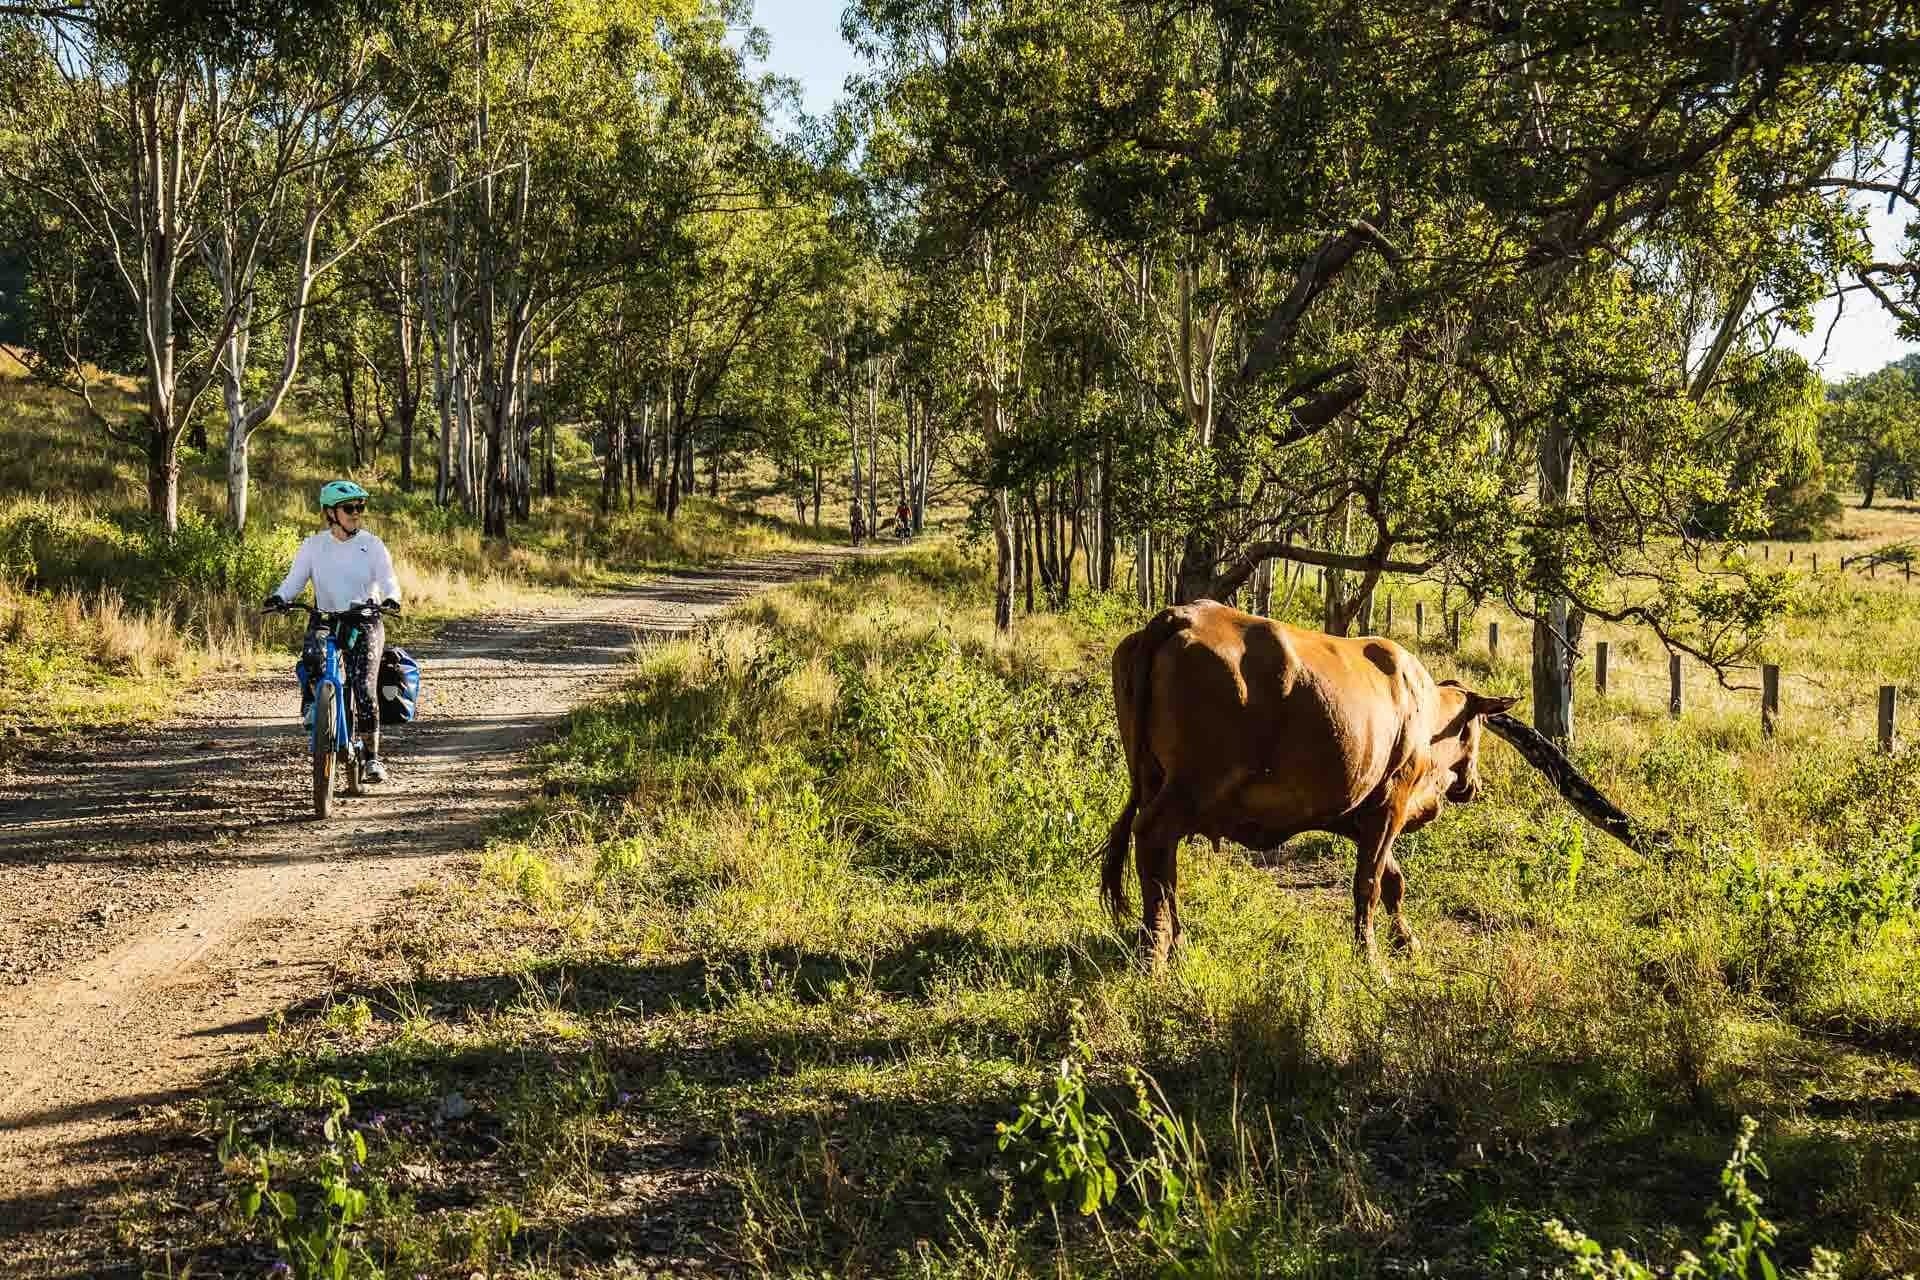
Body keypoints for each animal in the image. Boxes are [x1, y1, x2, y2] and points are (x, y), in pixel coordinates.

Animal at [1102, 600, 1517, 968]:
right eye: (1478, 726)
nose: (1473, 784)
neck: (1424, 709)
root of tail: (1184, 615)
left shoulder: (1357, 813)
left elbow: (1392, 880)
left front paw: (1405, 940)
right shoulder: (1390, 806)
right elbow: (1369, 884)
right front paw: (1370, 957)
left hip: (1153, 782)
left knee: (1162, 861)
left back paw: (1175, 942)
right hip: (1191, 789)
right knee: (1153, 837)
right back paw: (1155, 951)